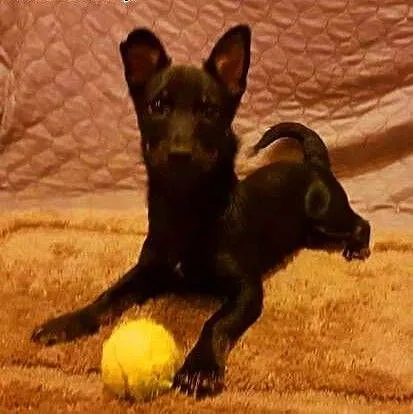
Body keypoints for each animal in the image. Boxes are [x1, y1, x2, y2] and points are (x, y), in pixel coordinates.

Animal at [31, 25, 371, 399]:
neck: (187, 208)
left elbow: (215, 322)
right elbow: (108, 296)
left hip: (326, 215)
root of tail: (313, 162)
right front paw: (67, 322)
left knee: (361, 222)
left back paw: (356, 247)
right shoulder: (145, 271)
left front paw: (200, 368)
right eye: (158, 105)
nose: (180, 154)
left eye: (209, 110)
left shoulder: (247, 290)